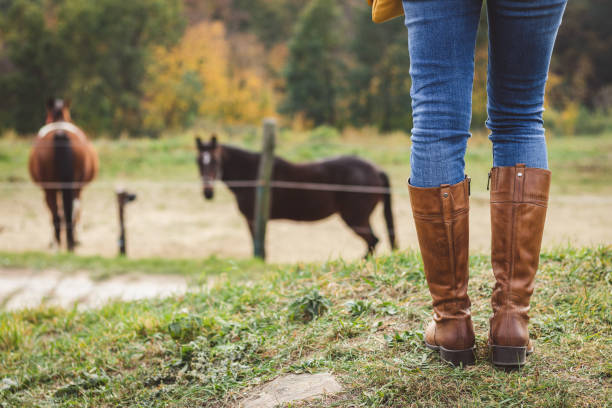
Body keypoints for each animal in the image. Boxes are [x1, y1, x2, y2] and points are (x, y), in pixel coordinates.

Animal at [28, 99, 98, 252]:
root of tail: (60, 134)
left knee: (57, 212)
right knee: (69, 209)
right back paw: (68, 241)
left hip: (52, 187)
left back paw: (59, 242)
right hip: (69, 186)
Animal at [196, 133, 396, 258]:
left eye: (215, 161)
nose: (207, 193)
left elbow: (259, 248)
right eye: (198, 161)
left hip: (356, 218)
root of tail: (376, 170)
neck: (253, 174)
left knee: (373, 241)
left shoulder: (253, 220)